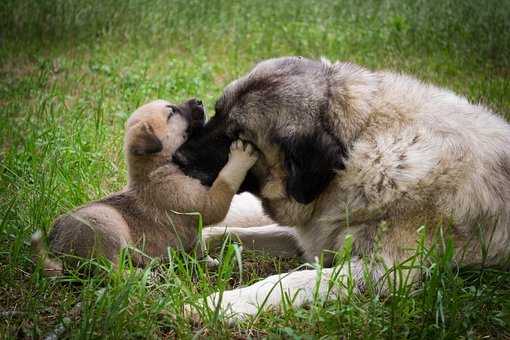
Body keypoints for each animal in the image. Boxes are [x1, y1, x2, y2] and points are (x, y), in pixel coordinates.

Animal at [30, 96, 258, 276]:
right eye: (172, 112)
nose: (200, 101)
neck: (157, 169)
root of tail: (56, 248)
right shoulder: (204, 204)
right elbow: (225, 182)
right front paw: (240, 157)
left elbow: (199, 247)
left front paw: (207, 262)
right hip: (107, 225)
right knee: (111, 273)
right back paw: (142, 275)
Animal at [174, 56, 510, 322]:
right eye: (217, 112)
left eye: (237, 138)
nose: (178, 157)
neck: (358, 142)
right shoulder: (315, 236)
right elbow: (232, 233)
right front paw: (194, 246)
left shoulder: (385, 272)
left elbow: (288, 281)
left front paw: (221, 304)